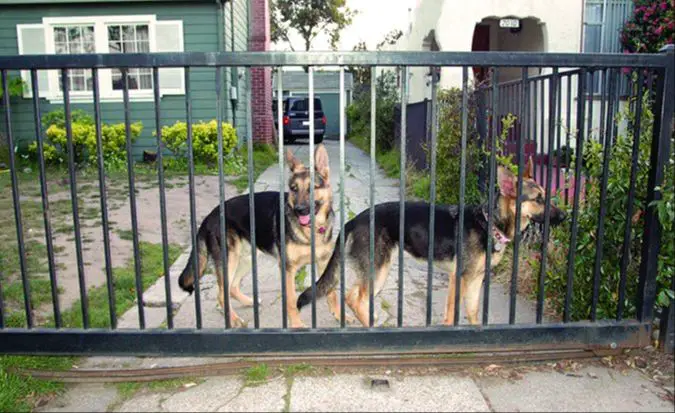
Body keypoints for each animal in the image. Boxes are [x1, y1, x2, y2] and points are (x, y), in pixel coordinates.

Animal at [178, 145, 336, 328]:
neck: (311, 231)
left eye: (312, 188)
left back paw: (248, 302)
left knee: (231, 287)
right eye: (294, 189)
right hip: (230, 261)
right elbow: (290, 300)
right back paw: (234, 319)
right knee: (221, 294)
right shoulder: (288, 269)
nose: (299, 210)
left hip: (246, 260)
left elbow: (331, 292)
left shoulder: (324, 262)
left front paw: (341, 315)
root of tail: (209, 216)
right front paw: (296, 324)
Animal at [298, 158, 568, 326]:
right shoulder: (460, 278)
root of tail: (353, 221)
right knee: (353, 297)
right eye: (538, 199)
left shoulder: (475, 280)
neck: (489, 223)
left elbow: (472, 311)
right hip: (379, 269)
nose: (565, 216)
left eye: (546, 195)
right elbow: (452, 311)